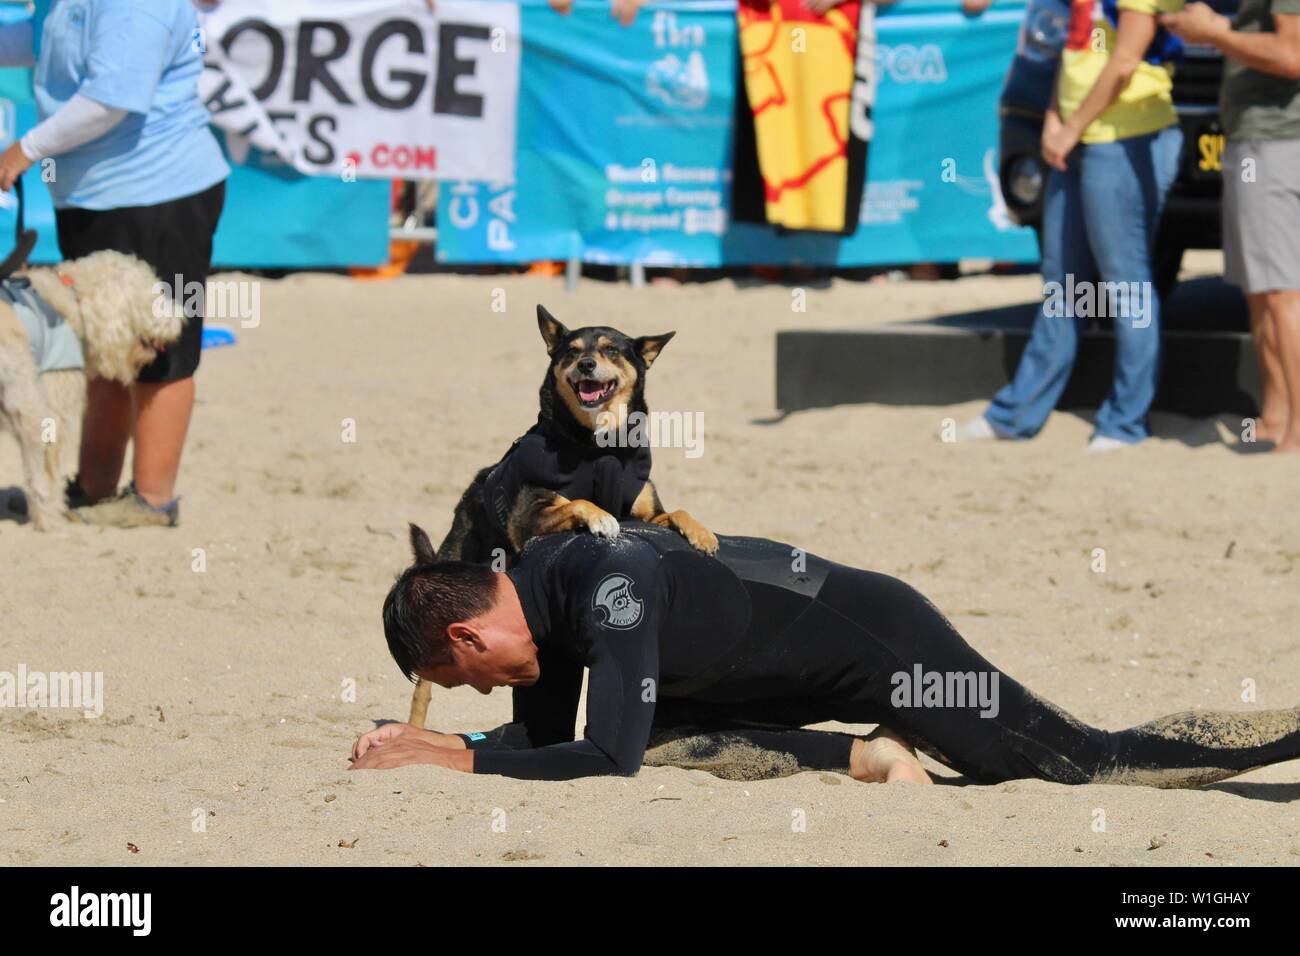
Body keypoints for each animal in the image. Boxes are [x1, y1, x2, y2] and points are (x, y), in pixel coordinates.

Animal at [0, 252, 179, 530]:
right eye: (155, 297)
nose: (183, 318)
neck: (71, 300)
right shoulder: (53, 409)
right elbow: (44, 476)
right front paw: (51, 515)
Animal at [405, 304, 717, 723]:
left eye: (611, 350)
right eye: (571, 351)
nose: (586, 364)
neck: (600, 446)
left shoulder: (648, 514)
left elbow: (678, 511)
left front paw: (702, 534)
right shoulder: (527, 518)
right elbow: (577, 503)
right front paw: (600, 518)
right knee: (423, 686)